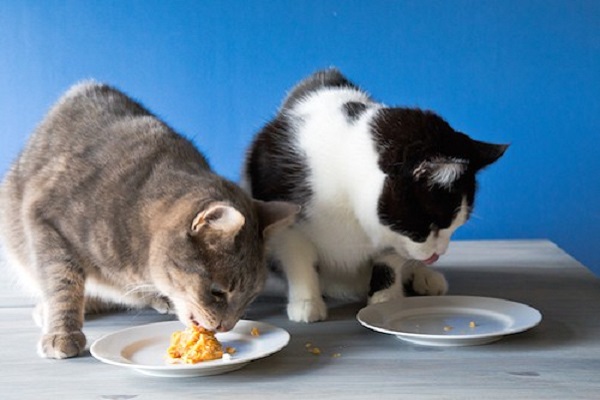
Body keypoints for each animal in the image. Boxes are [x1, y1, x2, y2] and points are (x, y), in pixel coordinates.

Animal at [0, 82, 296, 360]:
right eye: (217, 292)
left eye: (250, 297)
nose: (227, 326)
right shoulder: (45, 219)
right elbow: (62, 283)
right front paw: (62, 333)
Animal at [241, 69, 508, 324]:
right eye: (429, 226)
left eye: (454, 227)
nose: (438, 254)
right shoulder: (287, 216)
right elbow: (298, 258)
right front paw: (306, 303)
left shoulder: (393, 234)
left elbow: (390, 260)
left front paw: (386, 300)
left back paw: (425, 276)